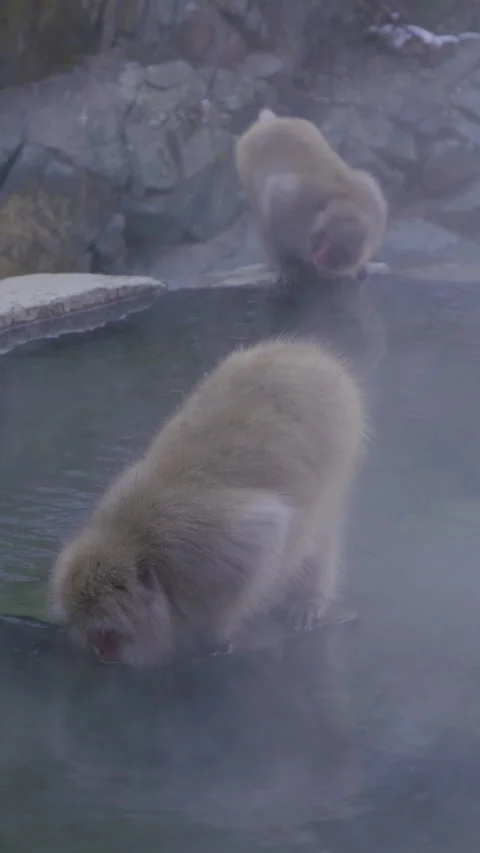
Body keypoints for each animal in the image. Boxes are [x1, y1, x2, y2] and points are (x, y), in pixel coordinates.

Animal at [49, 339, 365, 669]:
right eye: (86, 627)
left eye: (104, 629)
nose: (97, 650)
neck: (137, 539)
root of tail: (303, 352)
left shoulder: (208, 547)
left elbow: (267, 532)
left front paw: (216, 633)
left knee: (318, 531)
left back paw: (309, 598)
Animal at [235, 108, 388, 286]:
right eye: (325, 239)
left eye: (337, 248)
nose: (319, 256)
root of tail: (271, 122)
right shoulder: (292, 204)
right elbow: (274, 198)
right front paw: (287, 264)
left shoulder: (376, 206)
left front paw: (360, 267)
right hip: (245, 159)